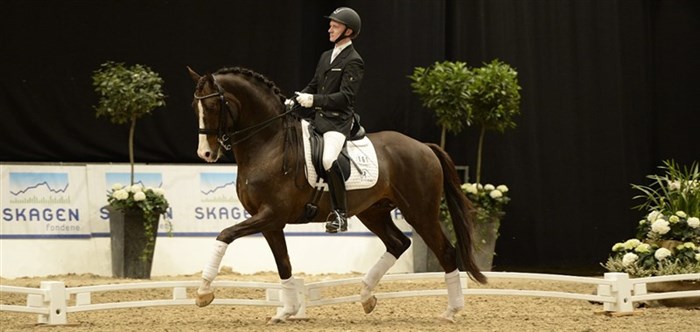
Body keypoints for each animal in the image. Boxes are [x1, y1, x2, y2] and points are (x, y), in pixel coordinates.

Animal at [189, 66, 490, 322]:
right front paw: (287, 311)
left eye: (213, 106)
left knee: (445, 252)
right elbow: (283, 264)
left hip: (420, 212)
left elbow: (225, 235)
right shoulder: (270, 222)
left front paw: (203, 292)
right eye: (195, 107)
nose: (206, 154)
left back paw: (451, 311)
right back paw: (367, 296)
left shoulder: (271, 214)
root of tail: (425, 147)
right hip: (374, 212)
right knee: (397, 244)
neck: (269, 143)